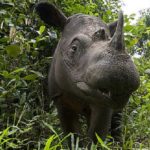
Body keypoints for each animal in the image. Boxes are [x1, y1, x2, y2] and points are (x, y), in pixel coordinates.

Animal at [35, 1, 140, 146]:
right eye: (74, 48)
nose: (122, 77)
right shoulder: (59, 98)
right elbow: (71, 133)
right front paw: (76, 145)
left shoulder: (103, 103)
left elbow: (96, 135)